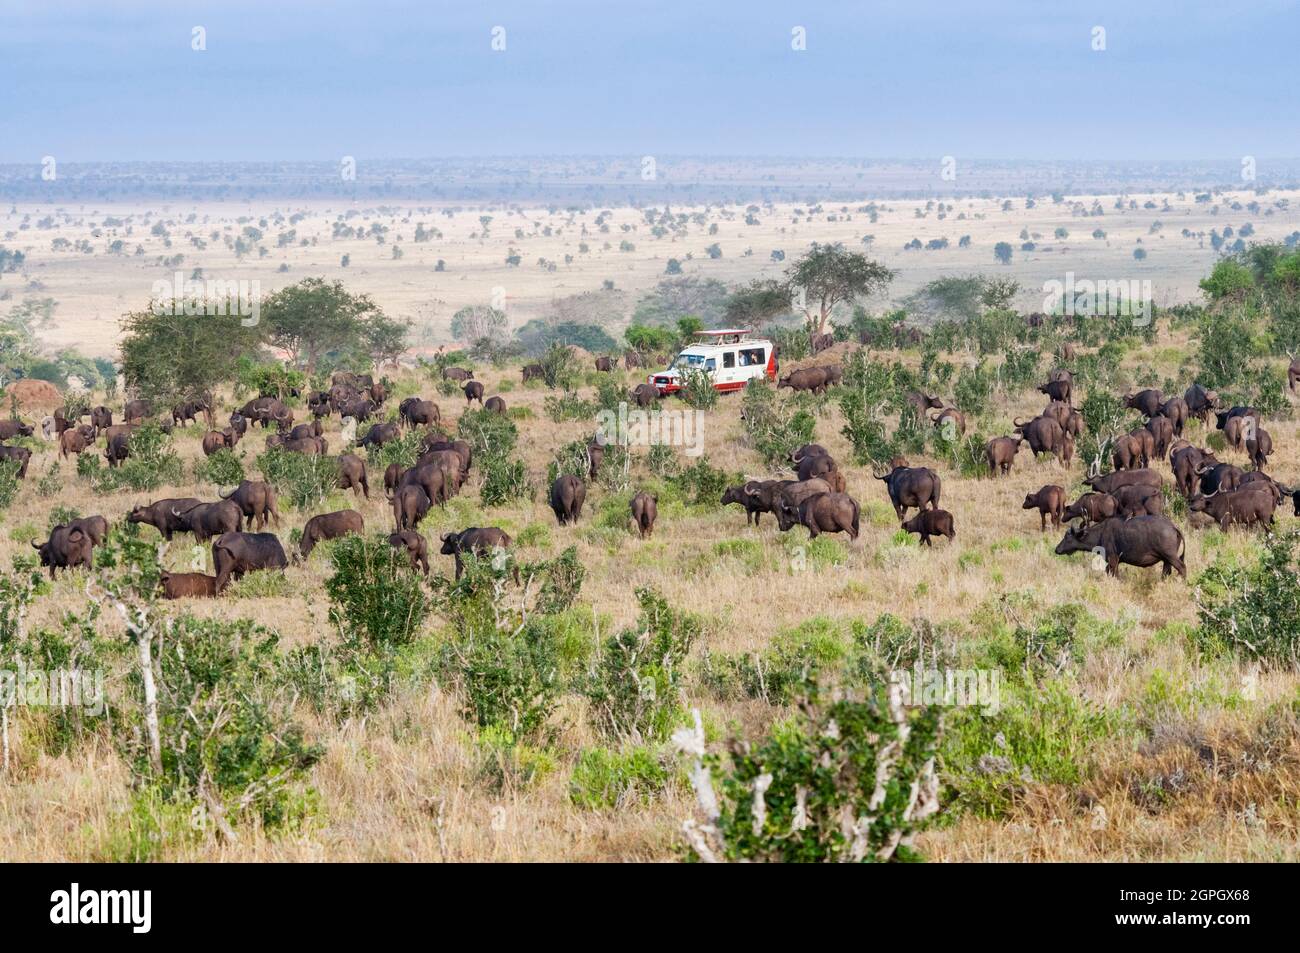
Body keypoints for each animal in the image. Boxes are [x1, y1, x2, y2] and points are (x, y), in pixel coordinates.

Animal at [1055, 517, 1190, 577]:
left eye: (1067, 537)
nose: (1057, 549)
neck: (1101, 533)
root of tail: (1173, 526)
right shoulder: (1113, 562)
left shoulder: (1113, 560)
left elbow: (1115, 575)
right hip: (1166, 560)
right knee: (1166, 572)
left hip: (1170, 556)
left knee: (1182, 567)